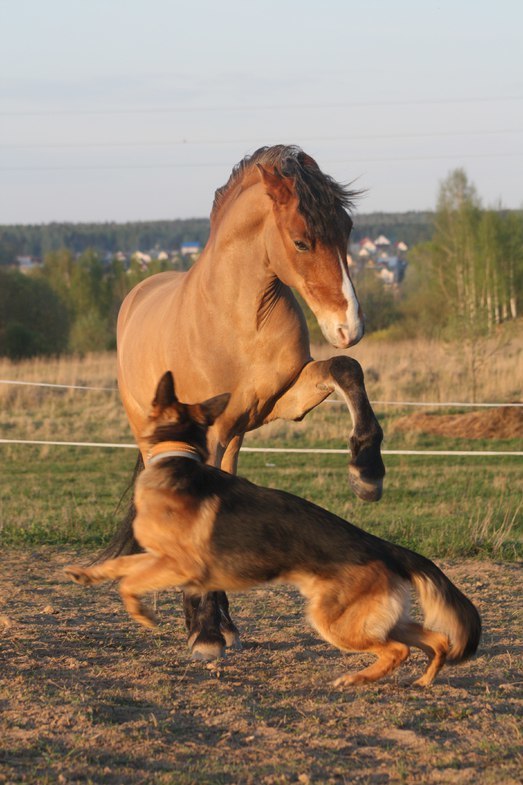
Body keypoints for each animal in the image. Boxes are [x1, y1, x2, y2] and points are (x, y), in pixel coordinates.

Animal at [66, 370, 484, 684]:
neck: (176, 456)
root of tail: (383, 546)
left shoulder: (179, 565)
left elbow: (129, 581)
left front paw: (142, 614)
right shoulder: (158, 558)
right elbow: (120, 567)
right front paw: (86, 574)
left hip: (336, 622)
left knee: (399, 650)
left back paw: (356, 679)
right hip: (381, 620)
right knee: (436, 640)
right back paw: (423, 681)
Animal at [110, 144, 386, 660]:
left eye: (346, 230)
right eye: (301, 241)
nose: (349, 327)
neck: (237, 319)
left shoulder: (279, 402)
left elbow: (345, 369)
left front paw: (367, 473)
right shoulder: (208, 432)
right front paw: (204, 634)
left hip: (232, 440)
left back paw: (225, 622)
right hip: (157, 438)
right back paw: (204, 626)